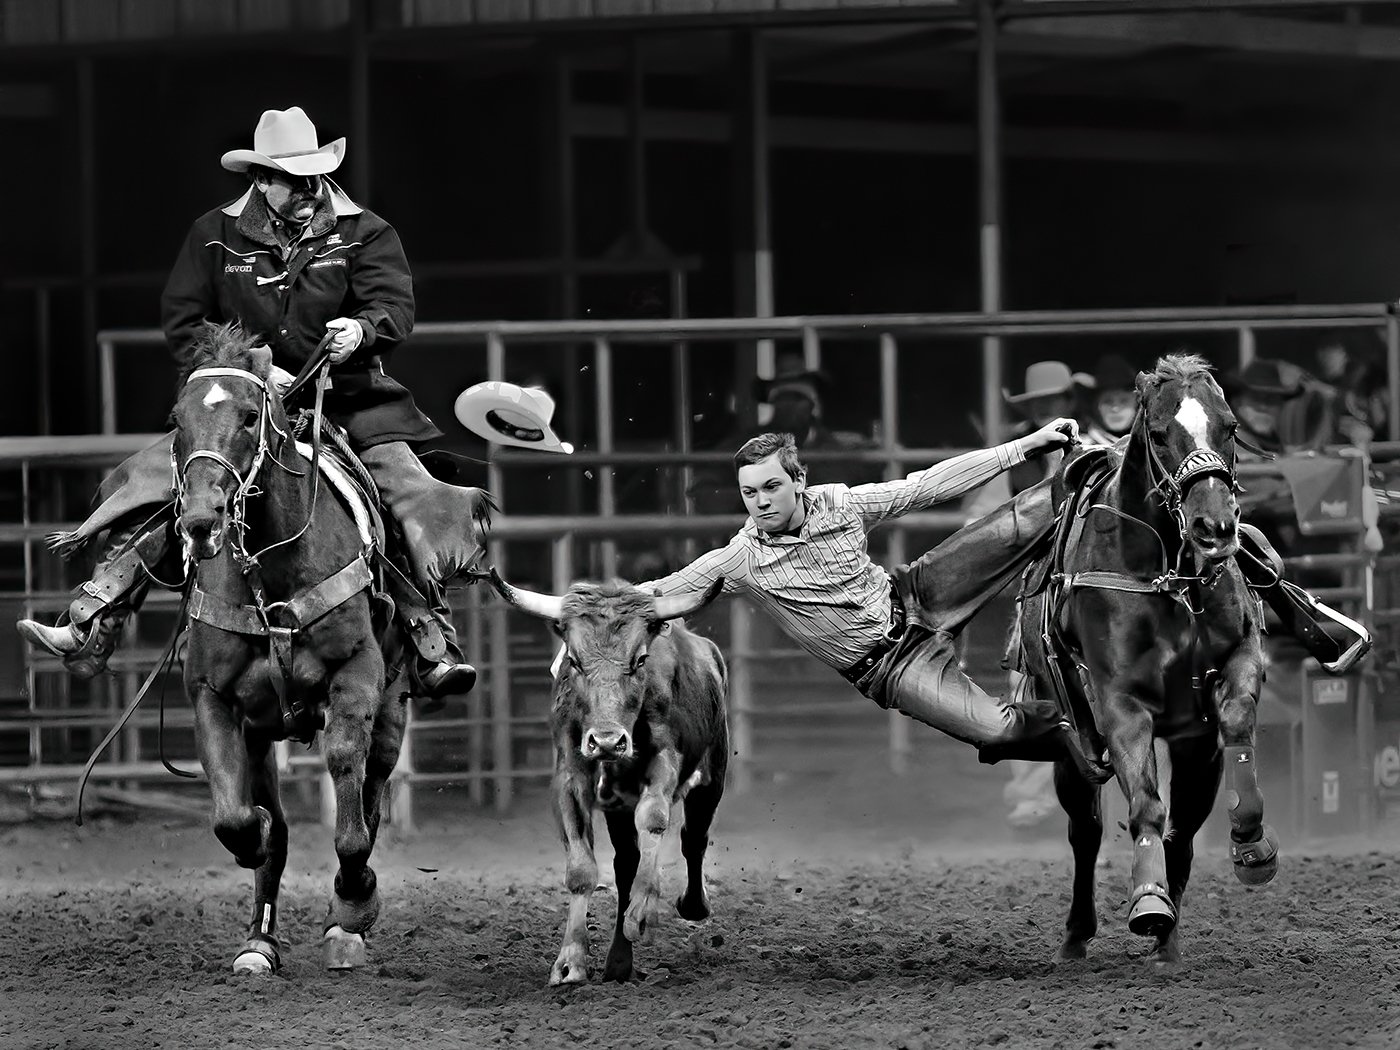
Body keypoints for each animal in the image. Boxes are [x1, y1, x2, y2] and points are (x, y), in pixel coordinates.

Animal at [170, 327, 492, 980]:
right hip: (264, 731)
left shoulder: (357, 677)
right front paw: (258, 849)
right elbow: (238, 817)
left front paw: (354, 902)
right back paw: (259, 940)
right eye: (177, 421)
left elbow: (349, 792)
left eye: (250, 416)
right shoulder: (215, 699)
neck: (268, 572)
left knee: (371, 794)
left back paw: (348, 913)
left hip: (394, 704)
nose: (200, 521)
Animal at [1024, 355, 1276, 968]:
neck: (1169, 578)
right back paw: (1077, 935)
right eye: (1160, 433)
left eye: (1230, 427)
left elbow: (1235, 723)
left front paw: (1251, 840)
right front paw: (1148, 900)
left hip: (1191, 749)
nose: (1214, 528)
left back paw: (1168, 943)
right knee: (1086, 830)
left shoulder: (1231, 673)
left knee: (1182, 830)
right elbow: (1144, 804)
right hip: (1069, 742)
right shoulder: (1120, 704)